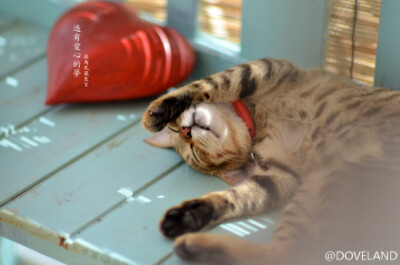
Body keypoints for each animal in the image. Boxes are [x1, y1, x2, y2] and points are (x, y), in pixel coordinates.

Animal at [141, 58, 400, 264]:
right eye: (194, 153)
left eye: (176, 129)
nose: (186, 132)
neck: (259, 122)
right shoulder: (280, 176)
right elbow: (239, 196)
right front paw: (193, 214)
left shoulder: (268, 67)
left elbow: (210, 83)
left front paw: (157, 110)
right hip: (322, 185)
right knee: (291, 253)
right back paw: (193, 243)